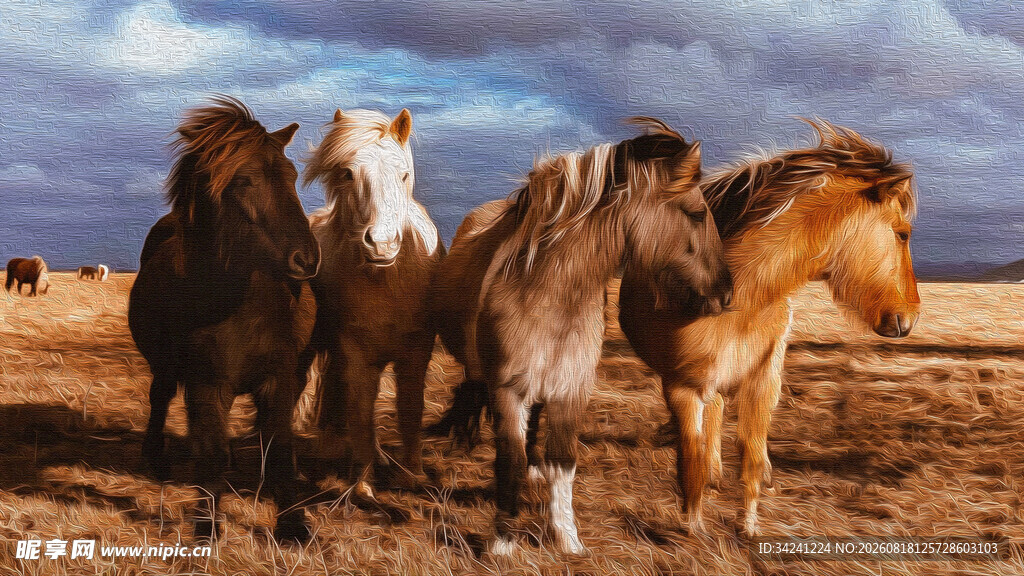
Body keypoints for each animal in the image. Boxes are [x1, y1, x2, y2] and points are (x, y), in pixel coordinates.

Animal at [128, 97, 320, 542]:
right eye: (244, 180)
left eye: (292, 175)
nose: (306, 259)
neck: (238, 304)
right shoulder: (207, 383)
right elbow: (210, 451)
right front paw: (207, 527)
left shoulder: (278, 379)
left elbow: (280, 448)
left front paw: (293, 525)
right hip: (168, 368)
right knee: (161, 397)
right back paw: (155, 459)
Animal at [302, 108, 443, 494]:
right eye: (348, 174)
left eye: (404, 174)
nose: (381, 244)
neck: (387, 281)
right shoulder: (356, 353)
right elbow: (362, 411)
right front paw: (362, 482)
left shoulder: (416, 352)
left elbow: (410, 407)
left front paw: (413, 475)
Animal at [429, 118, 733, 555]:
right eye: (695, 214)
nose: (726, 292)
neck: (551, 295)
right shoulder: (507, 390)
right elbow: (509, 460)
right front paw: (502, 541)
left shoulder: (571, 389)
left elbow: (563, 461)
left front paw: (567, 539)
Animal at [617, 120, 920, 537]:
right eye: (902, 233)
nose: (911, 317)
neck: (739, 296)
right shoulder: (682, 386)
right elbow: (691, 453)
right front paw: (693, 525)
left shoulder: (764, 375)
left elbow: (751, 448)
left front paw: (747, 524)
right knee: (710, 424)